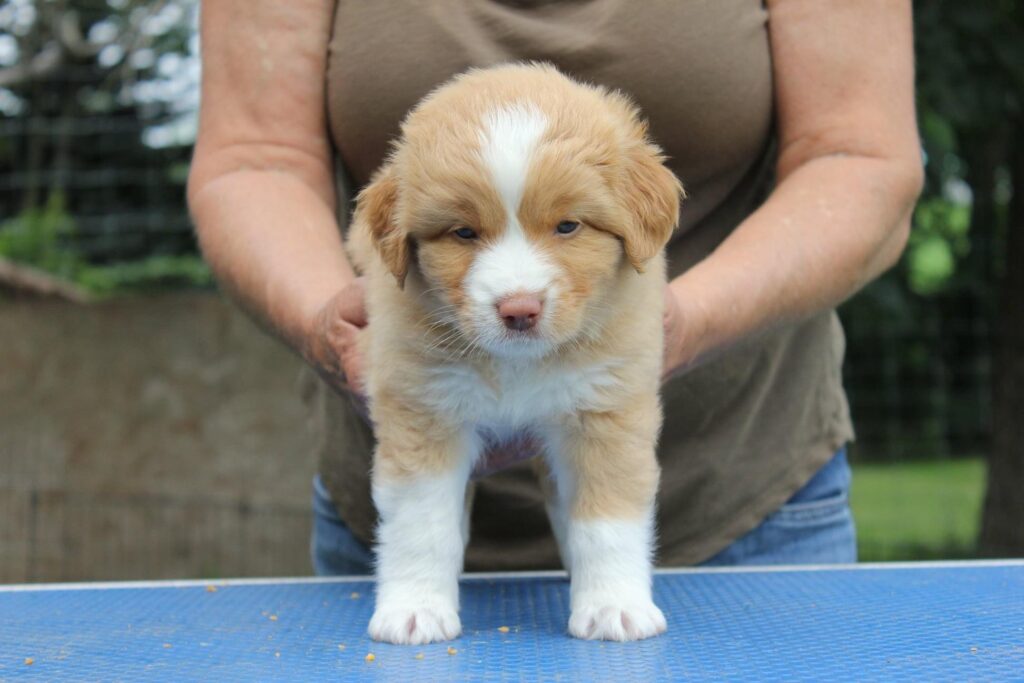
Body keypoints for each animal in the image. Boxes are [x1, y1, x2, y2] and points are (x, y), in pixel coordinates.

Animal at [348, 61, 684, 643]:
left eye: (568, 226)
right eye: (463, 232)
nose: (519, 310)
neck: (517, 363)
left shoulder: (606, 408)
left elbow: (607, 521)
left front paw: (613, 606)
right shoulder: (424, 408)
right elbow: (421, 524)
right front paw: (415, 609)